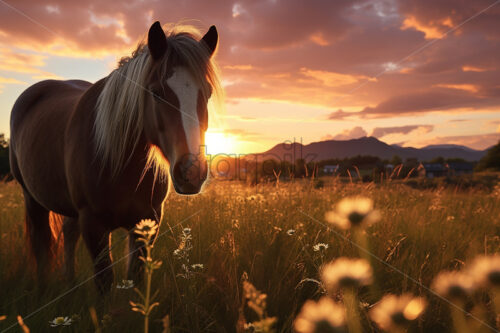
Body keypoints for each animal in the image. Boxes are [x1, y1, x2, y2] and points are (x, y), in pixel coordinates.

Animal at [8, 20, 221, 292]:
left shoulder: (147, 222)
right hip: (32, 198)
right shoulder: (93, 225)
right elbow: (104, 281)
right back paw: (43, 289)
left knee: (68, 233)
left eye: (207, 93)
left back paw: (69, 280)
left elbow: (135, 277)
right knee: (41, 243)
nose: (191, 172)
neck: (121, 163)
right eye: (156, 92)